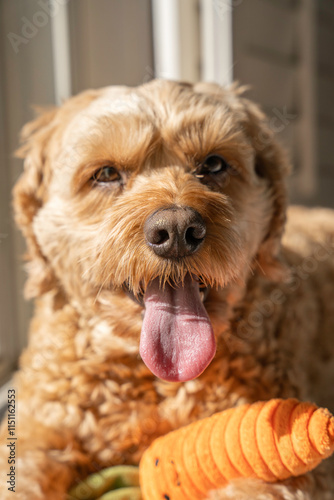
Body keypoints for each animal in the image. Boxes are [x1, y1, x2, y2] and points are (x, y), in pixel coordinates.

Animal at [0, 80, 334, 498]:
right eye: (106, 173)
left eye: (213, 165)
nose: (176, 231)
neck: (155, 380)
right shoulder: (36, 430)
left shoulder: (285, 465)